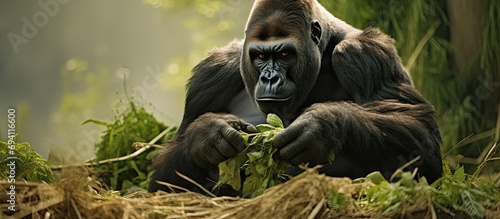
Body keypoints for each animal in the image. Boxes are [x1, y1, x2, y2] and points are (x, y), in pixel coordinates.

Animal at [148, 0, 442, 195]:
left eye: (285, 54)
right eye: (260, 56)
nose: (269, 78)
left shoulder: (364, 52)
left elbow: (423, 138)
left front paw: (323, 126)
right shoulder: (212, 73)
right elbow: (162, 184)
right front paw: (206, 134)